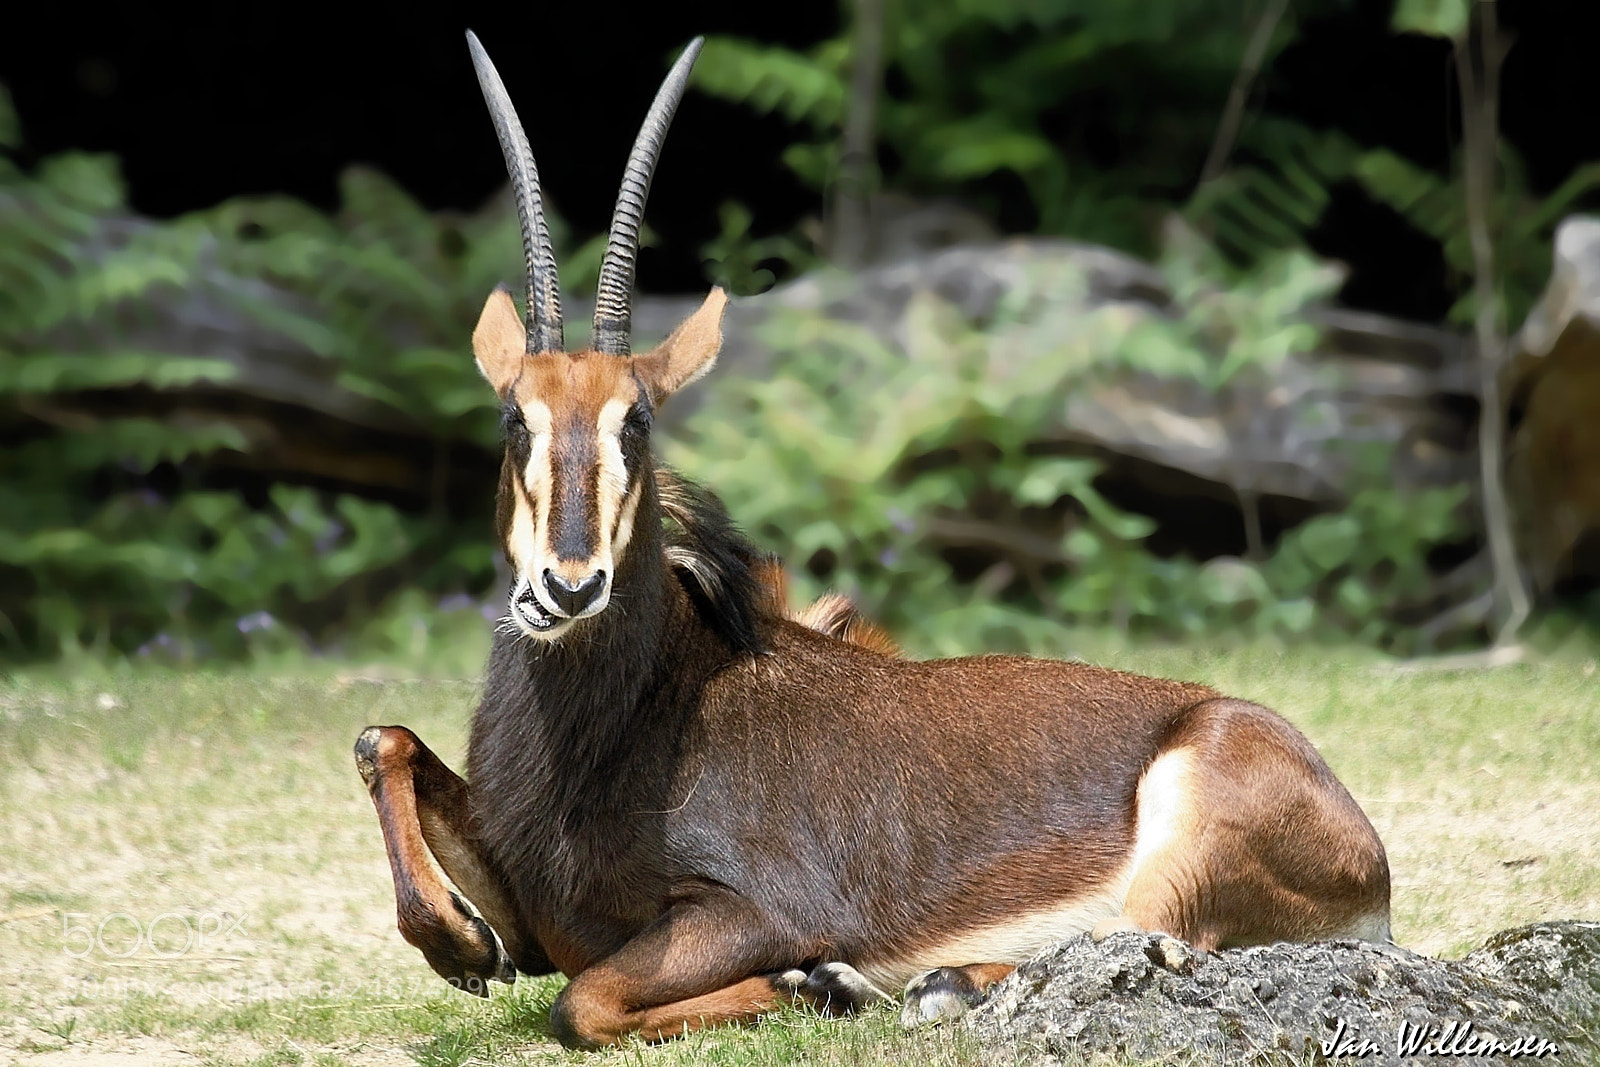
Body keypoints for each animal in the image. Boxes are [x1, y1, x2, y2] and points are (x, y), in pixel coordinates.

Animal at [354, 32, 1392, 1050]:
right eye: (514, 418)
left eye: (636, 421)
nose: (567, 587)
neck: (646, 703)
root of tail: (1368, 857)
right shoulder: (534, 917)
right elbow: (384, 740)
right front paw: (457, 942)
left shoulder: (757, 910)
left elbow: (586, 1001)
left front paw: (820, 983)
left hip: (1183, 843)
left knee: (1151, 943)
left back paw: (929, 985)